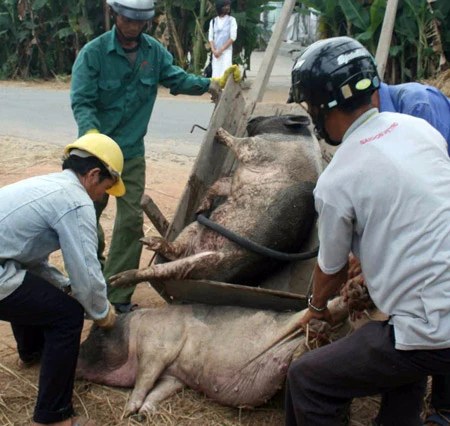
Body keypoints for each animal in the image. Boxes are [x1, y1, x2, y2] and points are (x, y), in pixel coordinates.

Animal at [77, 296, 352, 416]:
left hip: (298, 318)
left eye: (95, 332)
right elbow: (158, 391)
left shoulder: (157, 349)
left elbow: (144, 380)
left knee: (316, 312)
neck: (135, 329)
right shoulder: (174, 376)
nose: (77, 354)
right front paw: (144, 414)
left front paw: (128, 412)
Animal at [107, 115, 322, 288]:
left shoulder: (256, 148)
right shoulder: (236, 182)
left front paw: (218, 132)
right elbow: (219, 184)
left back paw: (118, 279)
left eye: (278, 116)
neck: (295, 139)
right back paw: (151, 242)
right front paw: (202, 207)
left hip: (205, 262)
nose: (252, 118)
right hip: (194, 227)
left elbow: (239, 144)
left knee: (163, 269)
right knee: (174, 249)